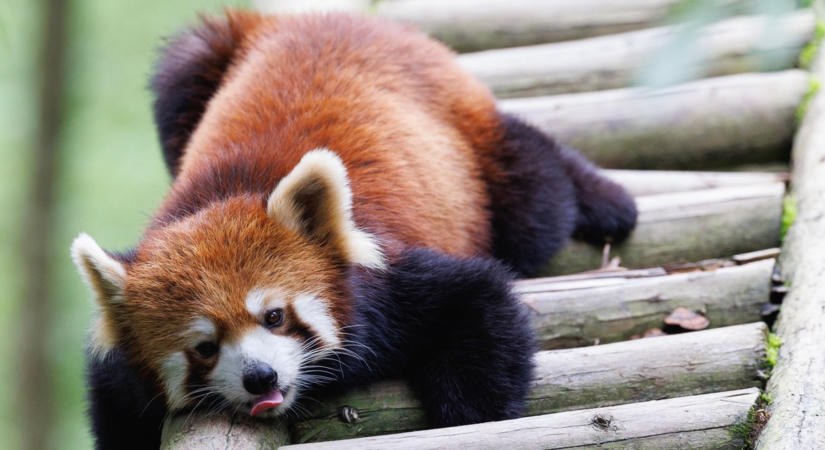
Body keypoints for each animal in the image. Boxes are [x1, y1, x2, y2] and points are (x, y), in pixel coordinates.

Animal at [71, 10, 637, 449]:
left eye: (274, 316)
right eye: (204, 347)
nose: (260, 377)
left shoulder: (388, 283)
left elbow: (481, 301)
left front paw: (470, 415)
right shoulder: (123, 374)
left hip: (483, 155)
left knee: (535, 191)